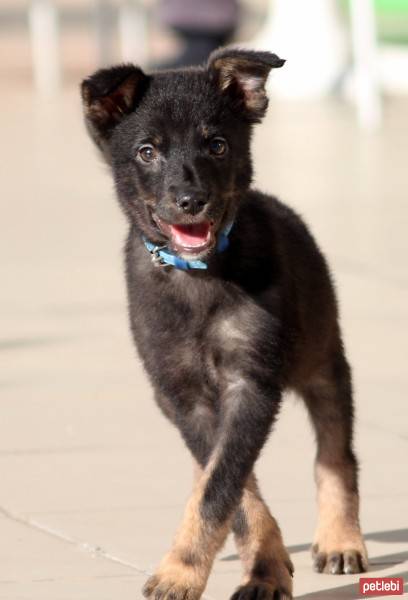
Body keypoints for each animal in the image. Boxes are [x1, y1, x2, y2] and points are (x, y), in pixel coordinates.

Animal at [81, 48, 368, 600]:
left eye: (217, 145)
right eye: (147, 151)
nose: (191, 201)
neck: (200, 274)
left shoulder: (250, 381)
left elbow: (222, 485)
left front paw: (182, 570)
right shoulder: (182, 392)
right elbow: (233, 490)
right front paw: (263, 564)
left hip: (322, 359)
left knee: (335, 454)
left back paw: (341, 539)